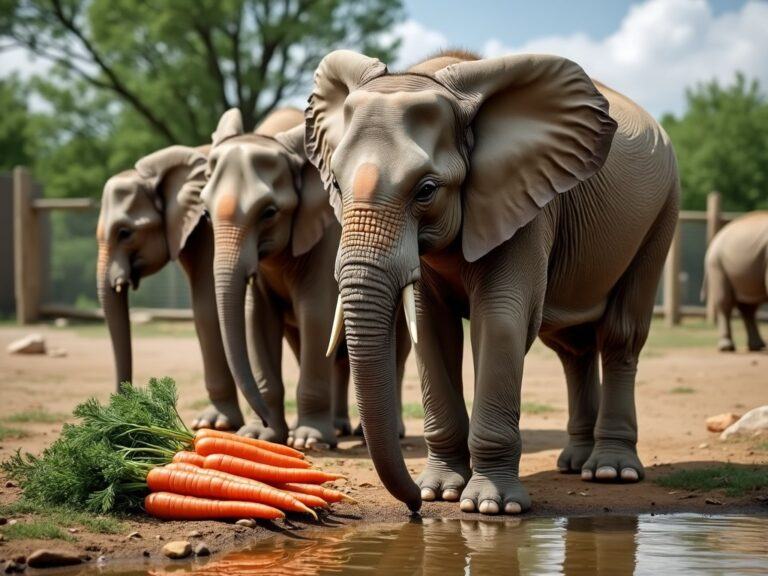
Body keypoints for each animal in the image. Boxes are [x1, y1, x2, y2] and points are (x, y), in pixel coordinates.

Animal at [96, 144, 244, 432]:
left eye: (125, 233)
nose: (120, 414)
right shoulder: (188, 233)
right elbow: (203, 309)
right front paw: (213, 423)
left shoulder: (207, 228)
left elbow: (208, 306)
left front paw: (216, 425)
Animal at [201, 107, 412, 450]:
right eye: (205, 214)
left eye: (269, 212)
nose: (261, 419)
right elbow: (256, 320)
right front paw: (262, 436)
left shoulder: (326, 237)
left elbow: (316, 315)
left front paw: (309, 442)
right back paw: (340, 428)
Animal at [304, 50, 680, 516]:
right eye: (336, 185)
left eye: (426, 190)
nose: (413, 507)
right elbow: (430, 327)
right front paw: (441, 492)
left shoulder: (528, 206)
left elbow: (499, 320)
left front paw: (490, 507)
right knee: (571, 348)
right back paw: (574, 464)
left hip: (663, 212)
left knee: (619, 335)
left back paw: (611, 471)